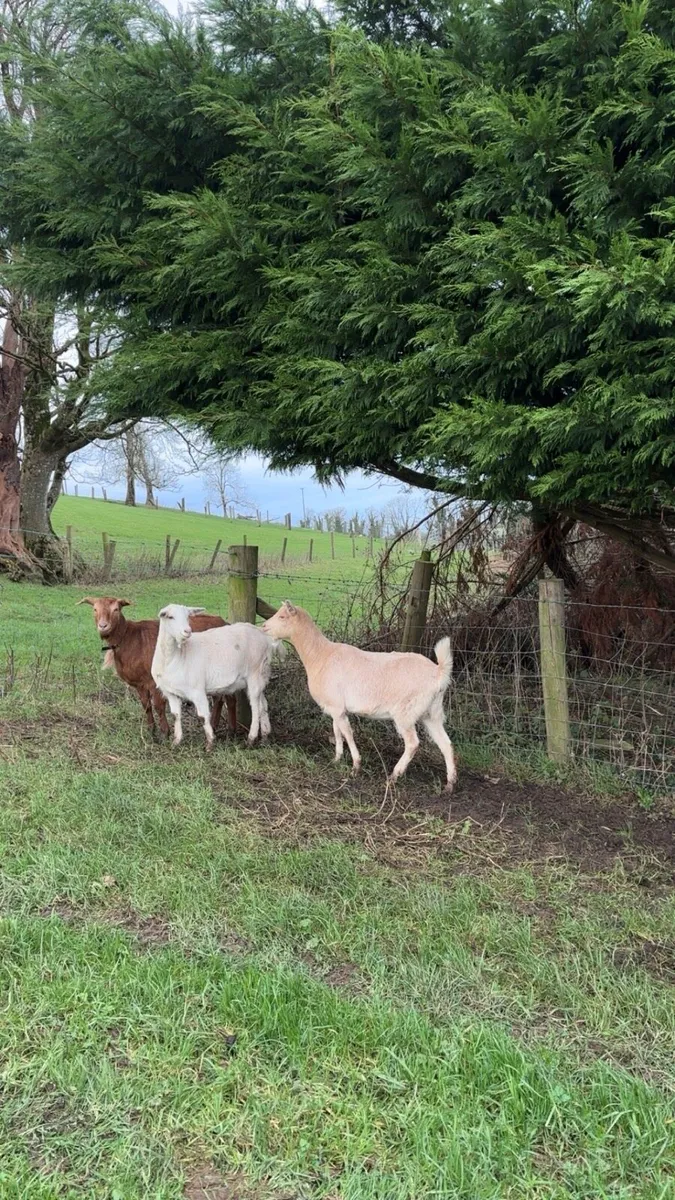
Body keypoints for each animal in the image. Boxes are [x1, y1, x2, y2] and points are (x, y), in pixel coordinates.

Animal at [78, 596, 237, 737]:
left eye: (116, 609)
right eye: (95, 609)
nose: (103, 626)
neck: (129, 638)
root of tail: (225, 623)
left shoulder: (153, 680)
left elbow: (159, 706)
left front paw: (165, 733)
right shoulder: (140, 683)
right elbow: (146, 706)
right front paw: (151, 731)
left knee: (227, 698)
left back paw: (229, 730)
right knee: (220, 698)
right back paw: (218, 727)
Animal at [151, 604, 280, 749]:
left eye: (188, 616)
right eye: (170, 617)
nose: (187, 631)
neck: (176, 656)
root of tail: (265, 637)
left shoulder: (197, 690)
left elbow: (203, 716)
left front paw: (210, 743)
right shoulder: (171, 692)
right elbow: (176, 715)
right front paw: (176, 741)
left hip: (255, 672)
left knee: (255, 707)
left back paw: (251, 739)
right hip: (261, 675)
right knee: (263, 704)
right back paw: (265, 736)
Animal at [262, 601, 456, 789]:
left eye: (282, 616)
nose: (263, 626)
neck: (320, 655)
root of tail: (439, 672)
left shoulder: (337, 708)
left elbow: (347, 733)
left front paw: (355, 766)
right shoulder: (335, 706)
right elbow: (337, 732)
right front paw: (337, 759)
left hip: (406, 712)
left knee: (413, 743)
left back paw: (394, 776)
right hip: (432, 713)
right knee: (446, 743)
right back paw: (450, 784)